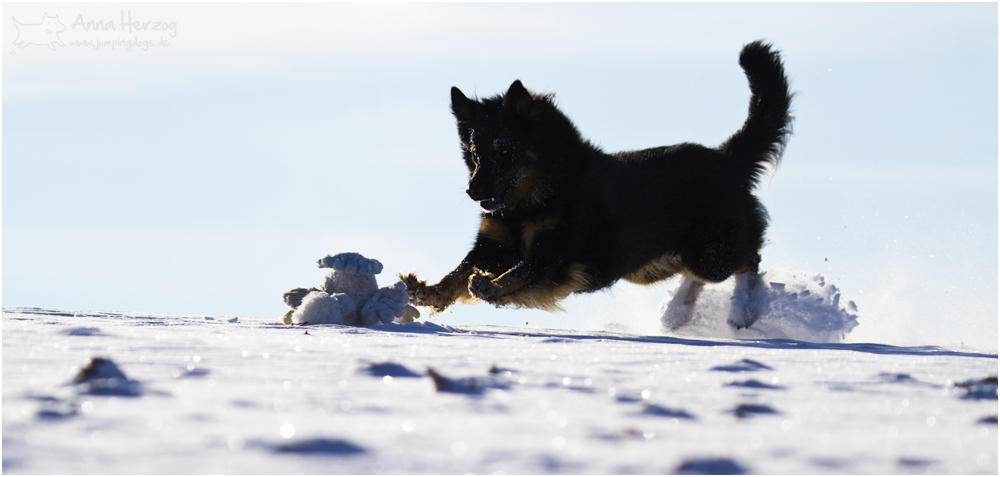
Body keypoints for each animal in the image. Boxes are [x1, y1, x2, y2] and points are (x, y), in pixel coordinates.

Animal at [398, 41, 788, 330]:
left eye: (505, 150)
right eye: (474, 153)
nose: (473, 191)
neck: (535, 200)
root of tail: (726, 158)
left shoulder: (556, 254)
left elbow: (519, 272)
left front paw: (489, 286)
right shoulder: (492, 244)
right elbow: (458, 272)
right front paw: (427, 292)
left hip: (712, 250)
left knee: (748, 260)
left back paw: (744, 311)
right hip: (652, 265)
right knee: (700, 274)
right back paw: (676, 313)